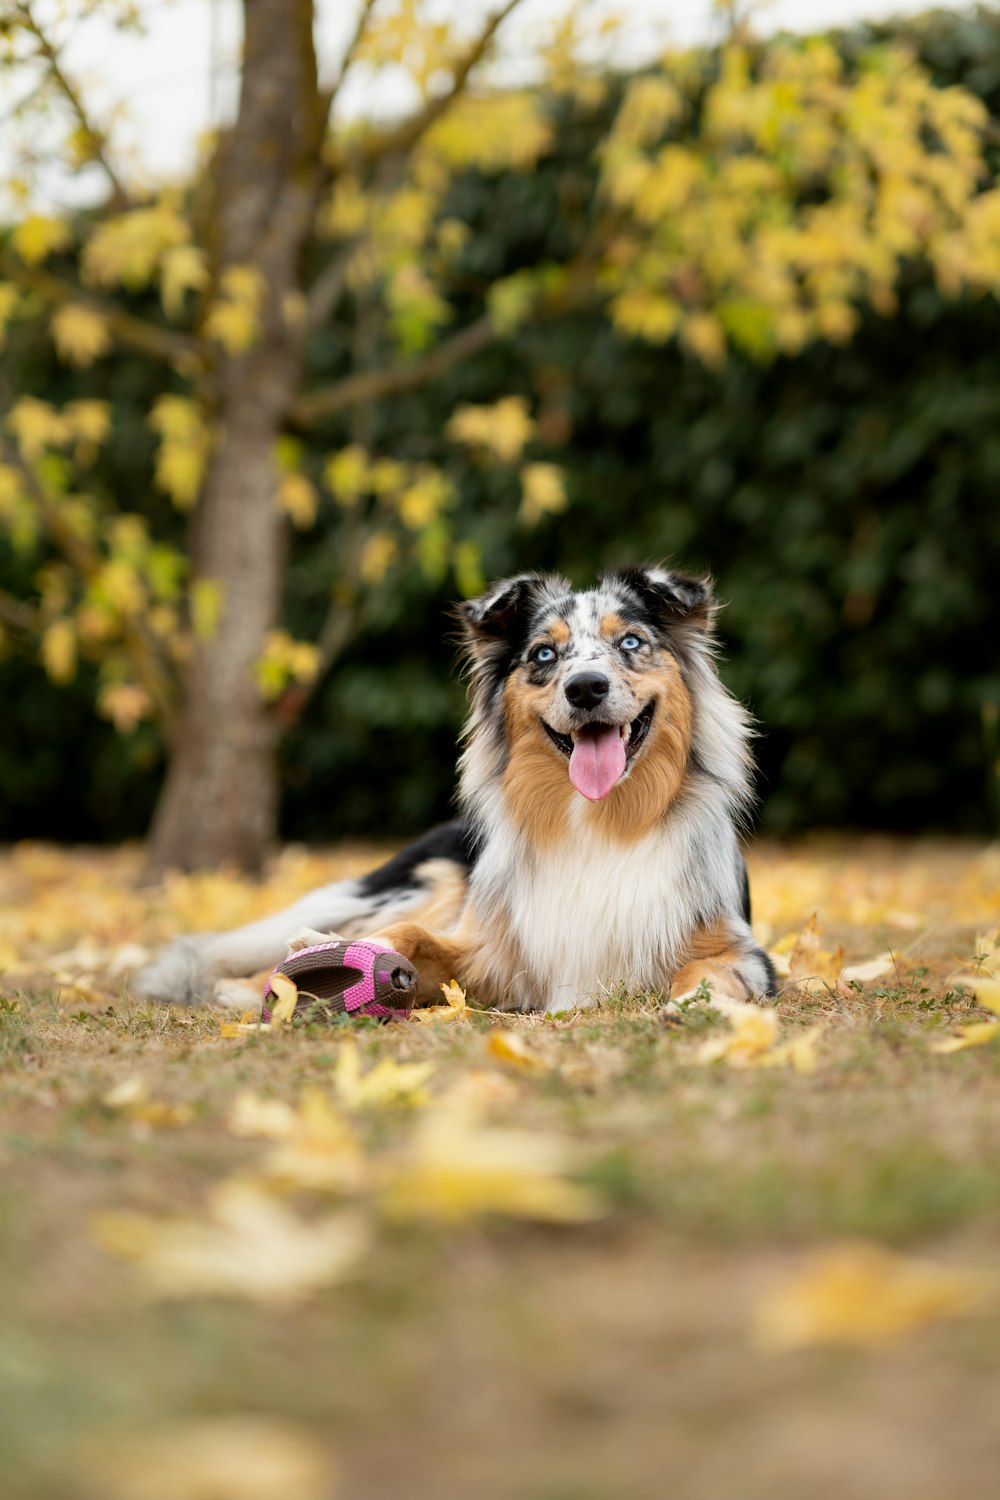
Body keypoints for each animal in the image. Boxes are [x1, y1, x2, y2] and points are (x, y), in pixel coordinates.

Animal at [134, 567, 773, 1014]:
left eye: (632, 643)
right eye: (544, 654)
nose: (585, 687)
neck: (599, 820)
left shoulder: (741, 950)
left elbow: (709, 972)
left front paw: (697, 1005)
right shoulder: (489, 951)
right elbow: (412, 939)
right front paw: (333, 953)